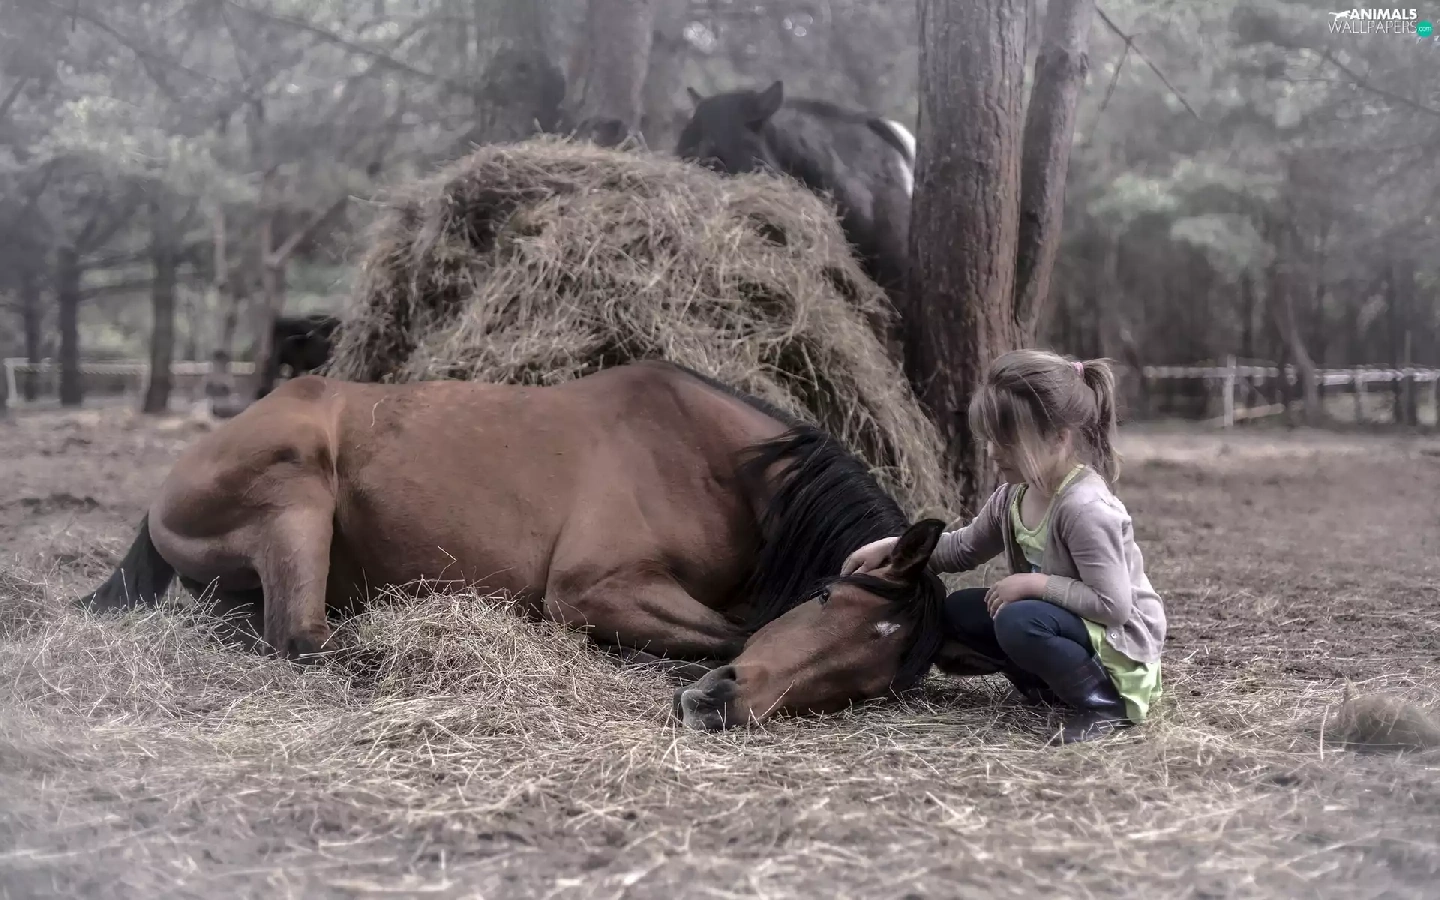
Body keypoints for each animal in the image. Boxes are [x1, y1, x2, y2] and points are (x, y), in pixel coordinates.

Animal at [78, 360, 950, 731]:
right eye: (826, 596)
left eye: (869, 682)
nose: (719, 703)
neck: (713, 464)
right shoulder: (594, 587)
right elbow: (735, 629)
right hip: (298, 498)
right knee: (300, 636)